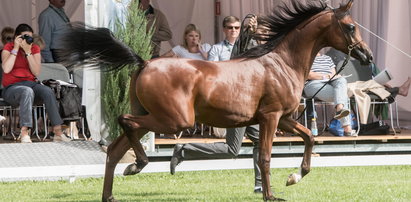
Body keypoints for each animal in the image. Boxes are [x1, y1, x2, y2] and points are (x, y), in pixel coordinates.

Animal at [58, 0, 374, 200]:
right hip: (173, 120)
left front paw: (295, 176)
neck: (281, 63)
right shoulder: (271, 117)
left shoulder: (284, 118)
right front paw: (272, 195)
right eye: (350, 27)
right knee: (123, 122)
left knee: (114, 149)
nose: (367, 56)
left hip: (154, 118)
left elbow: (309, 137)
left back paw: (113, 191)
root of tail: (145, 62)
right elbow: (265, 156)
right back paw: (139, 164)